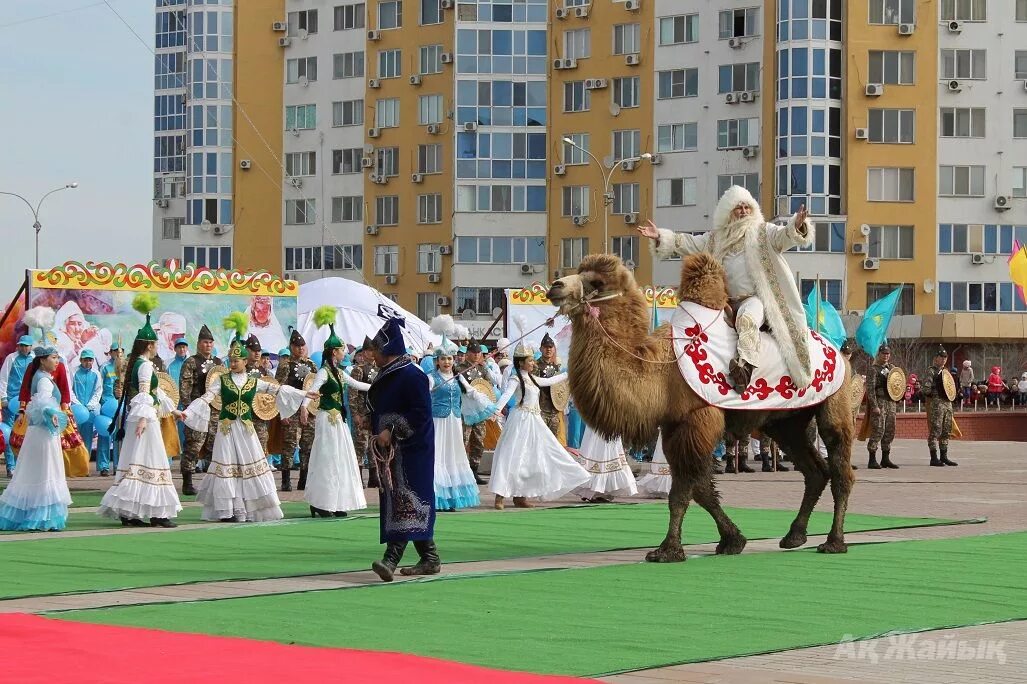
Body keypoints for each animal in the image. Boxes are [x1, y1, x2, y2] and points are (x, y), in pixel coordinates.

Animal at [550, 250, 854, 558]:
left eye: (596, 282)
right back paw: (795, 535)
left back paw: (834, 541)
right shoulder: (674, 425)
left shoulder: (697, 420)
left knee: (840, 469)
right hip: (786, 421)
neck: (658, 370)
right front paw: (732, 540)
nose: (555, 286)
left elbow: (684, 490)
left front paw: (668, 550)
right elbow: (700, 489)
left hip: (834, 402)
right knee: (815, 471)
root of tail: (839, 353)